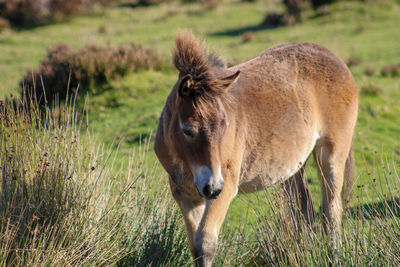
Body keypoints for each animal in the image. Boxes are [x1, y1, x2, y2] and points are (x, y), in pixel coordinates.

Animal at [155, 30, 358, 266]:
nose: (213, 187)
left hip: (332, 153)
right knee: (304, 209)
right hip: (293, 167)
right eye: (188, 130)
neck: (187, 165)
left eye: (225, 125)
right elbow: (195, 245)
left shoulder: (226, 188)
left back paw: (334, 256)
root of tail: (336, 60)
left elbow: (205, 242)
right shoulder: (185, 195)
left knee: (331, 211)